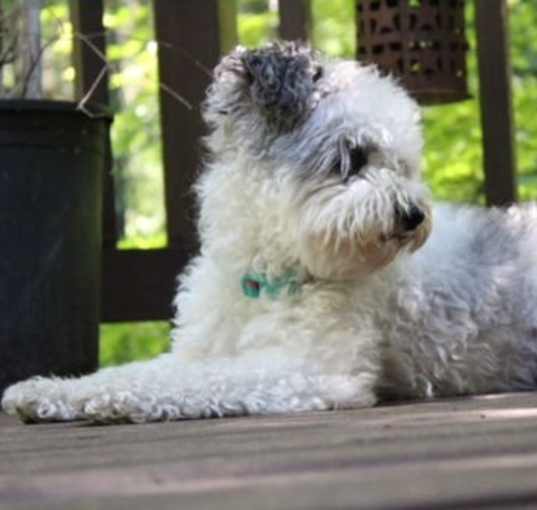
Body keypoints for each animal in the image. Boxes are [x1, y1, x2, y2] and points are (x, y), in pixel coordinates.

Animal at [3, 39, 536, 424]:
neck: (266, 275)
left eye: (402, 165)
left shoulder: (305, 370)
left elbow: (194, 383)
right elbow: (132, 372)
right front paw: (47, 391)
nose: (413, 216)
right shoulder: (197, 350)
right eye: (352, 157)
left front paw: (110, 402)